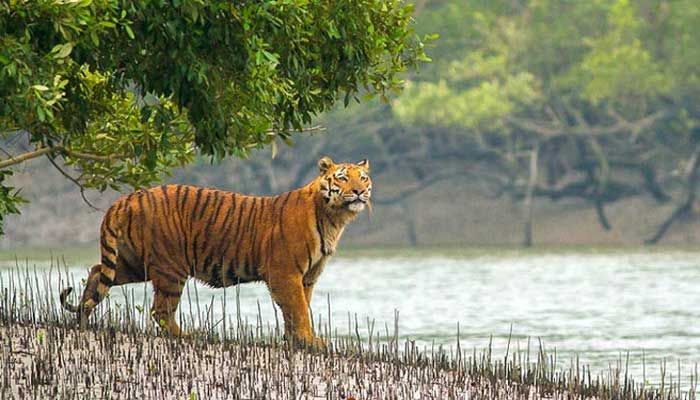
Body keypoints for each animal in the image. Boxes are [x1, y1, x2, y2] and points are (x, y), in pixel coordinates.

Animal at [60, 157, 372, 346]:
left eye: (364, 178)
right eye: (343, 178)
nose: (359, 191)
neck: (334, 218)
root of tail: (126, 198)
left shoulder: (307, 277)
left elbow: (298, 309)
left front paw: (296, 340)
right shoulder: (285, 273)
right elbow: (298, 309)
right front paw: (309, 341)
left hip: (134, 263)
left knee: (97, 272)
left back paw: (83, 319)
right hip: (171, 267)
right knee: (160, 310)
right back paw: (188, 335)